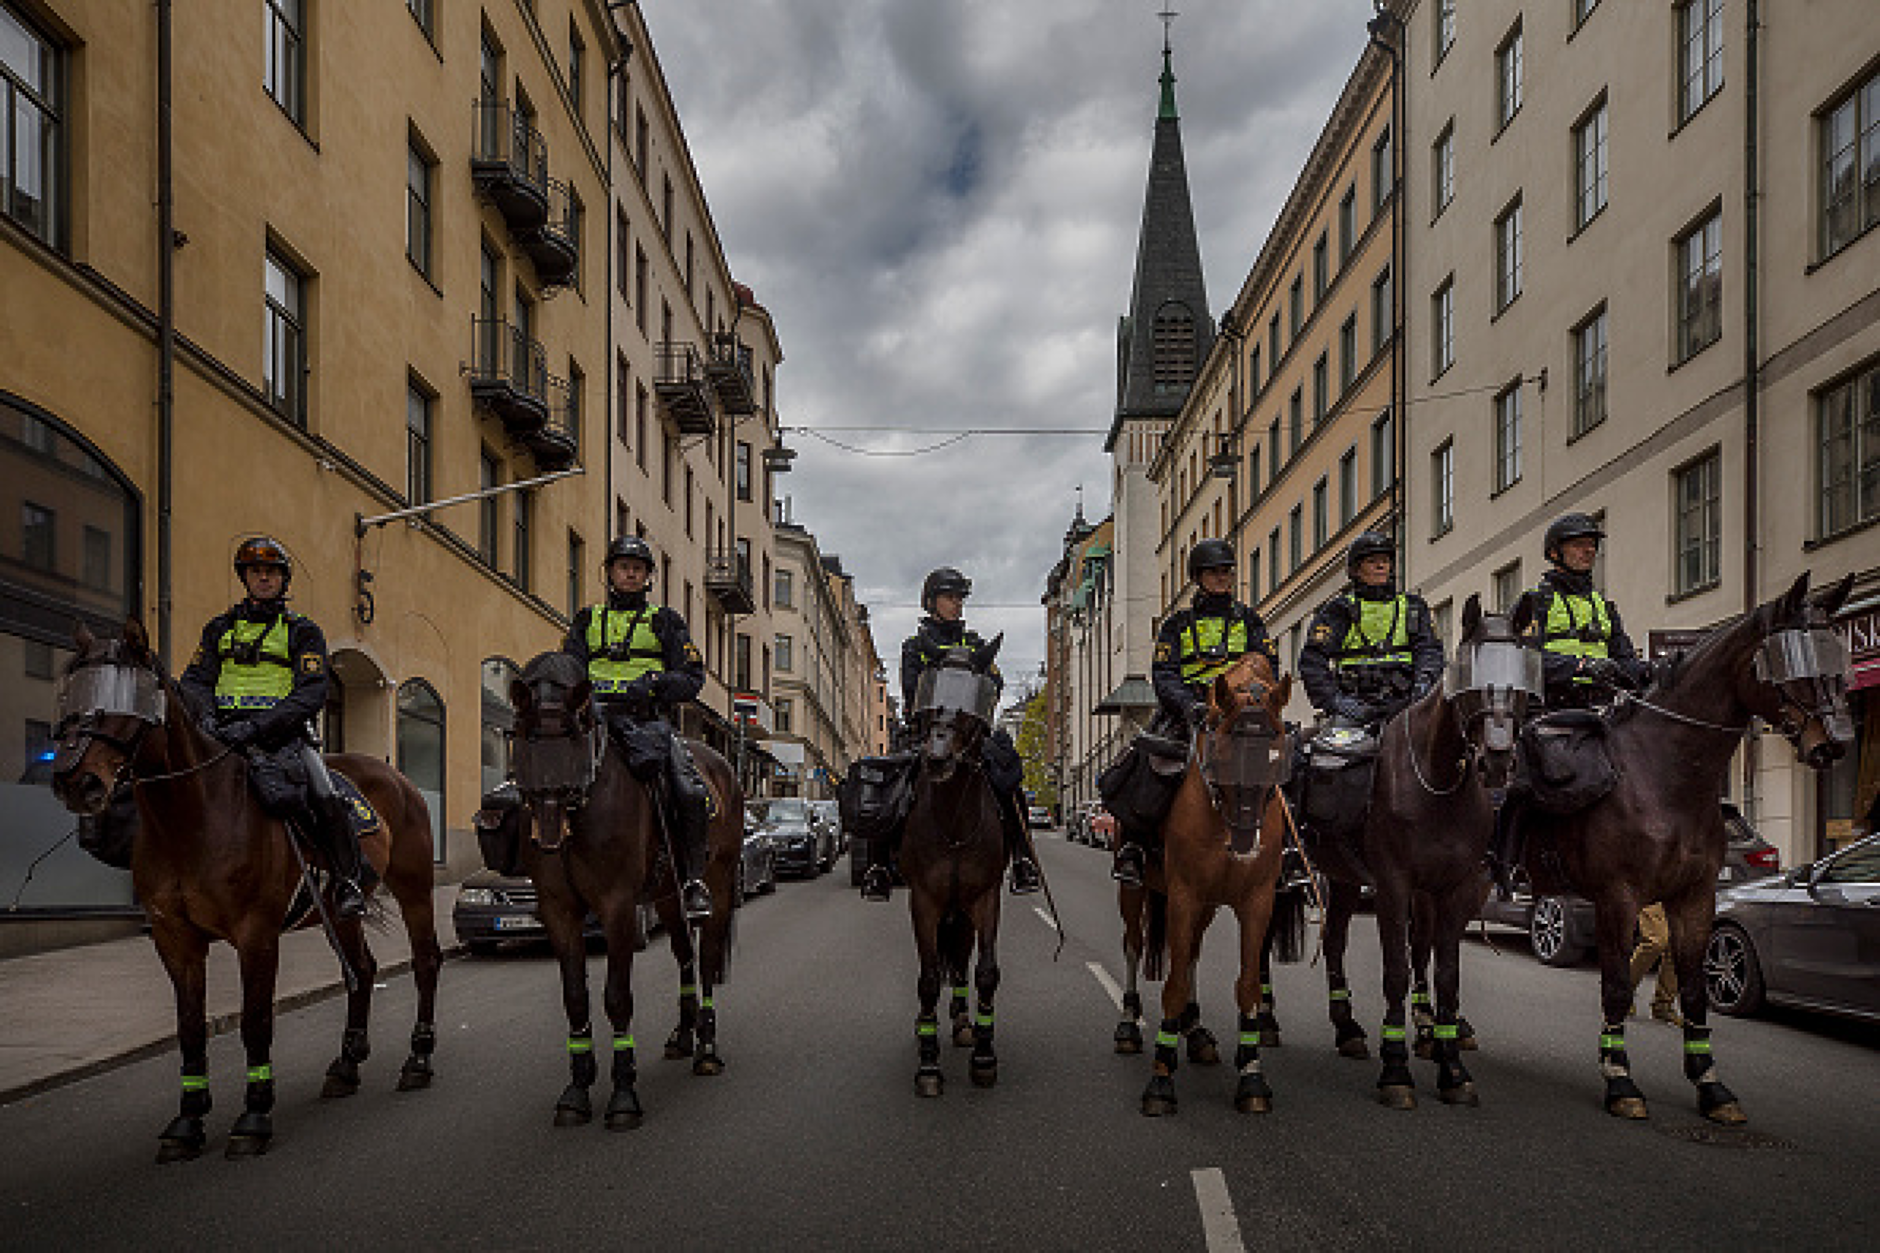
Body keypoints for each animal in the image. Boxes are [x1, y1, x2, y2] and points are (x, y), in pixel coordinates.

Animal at [47, 620, 439, 1158]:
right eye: (73, 693)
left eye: (128, 696)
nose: (74, 780)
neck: (191, 820)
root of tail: (396, 773)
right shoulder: (176, 941)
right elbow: (191, 1028)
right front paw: (188, 1120)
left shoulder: (257, 935)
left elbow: (255, 1021)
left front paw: (254, 1115)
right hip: (339, 910)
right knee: (361, 969)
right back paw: (346, 1065)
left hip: (415, 888)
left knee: (425, 962)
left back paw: (418, 1060)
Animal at [507, 647, 740, 1128]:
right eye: (524, 737)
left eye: (573, 735)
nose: (548, 833)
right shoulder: (559, 910)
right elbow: (575, 998)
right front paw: (577, 1087)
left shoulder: (616, 908)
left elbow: (616, 997)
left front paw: (623, 1091)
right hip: (668, 895)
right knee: (685, 957)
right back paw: (684, 1035)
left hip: (719, 883)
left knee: (707, 960)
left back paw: (707, 1048)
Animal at [1135, 647, 1300, 1106]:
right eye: (1223, 749)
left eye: (1277, 752)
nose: (1245, 839)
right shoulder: (1183, 896)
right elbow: (1173, 983)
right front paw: (1161, 1075)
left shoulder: (1257, 902)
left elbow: (1247, 986)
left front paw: (1252, 1073)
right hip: (1134, 893)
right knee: (1133, 948)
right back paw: (1129, 1026)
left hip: (1206, 907)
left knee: (1190, 952)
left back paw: (1194, 1032)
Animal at [1511, 571, 1849, 1113]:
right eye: (1790, 655)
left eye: (1834, 650)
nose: (1835, 740)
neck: (1664, 776)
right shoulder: (1617, 898)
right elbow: (1615, 987)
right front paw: (1619, 1078)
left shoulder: (1694, 897)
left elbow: (1694, 990)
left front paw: (1709, 1083)